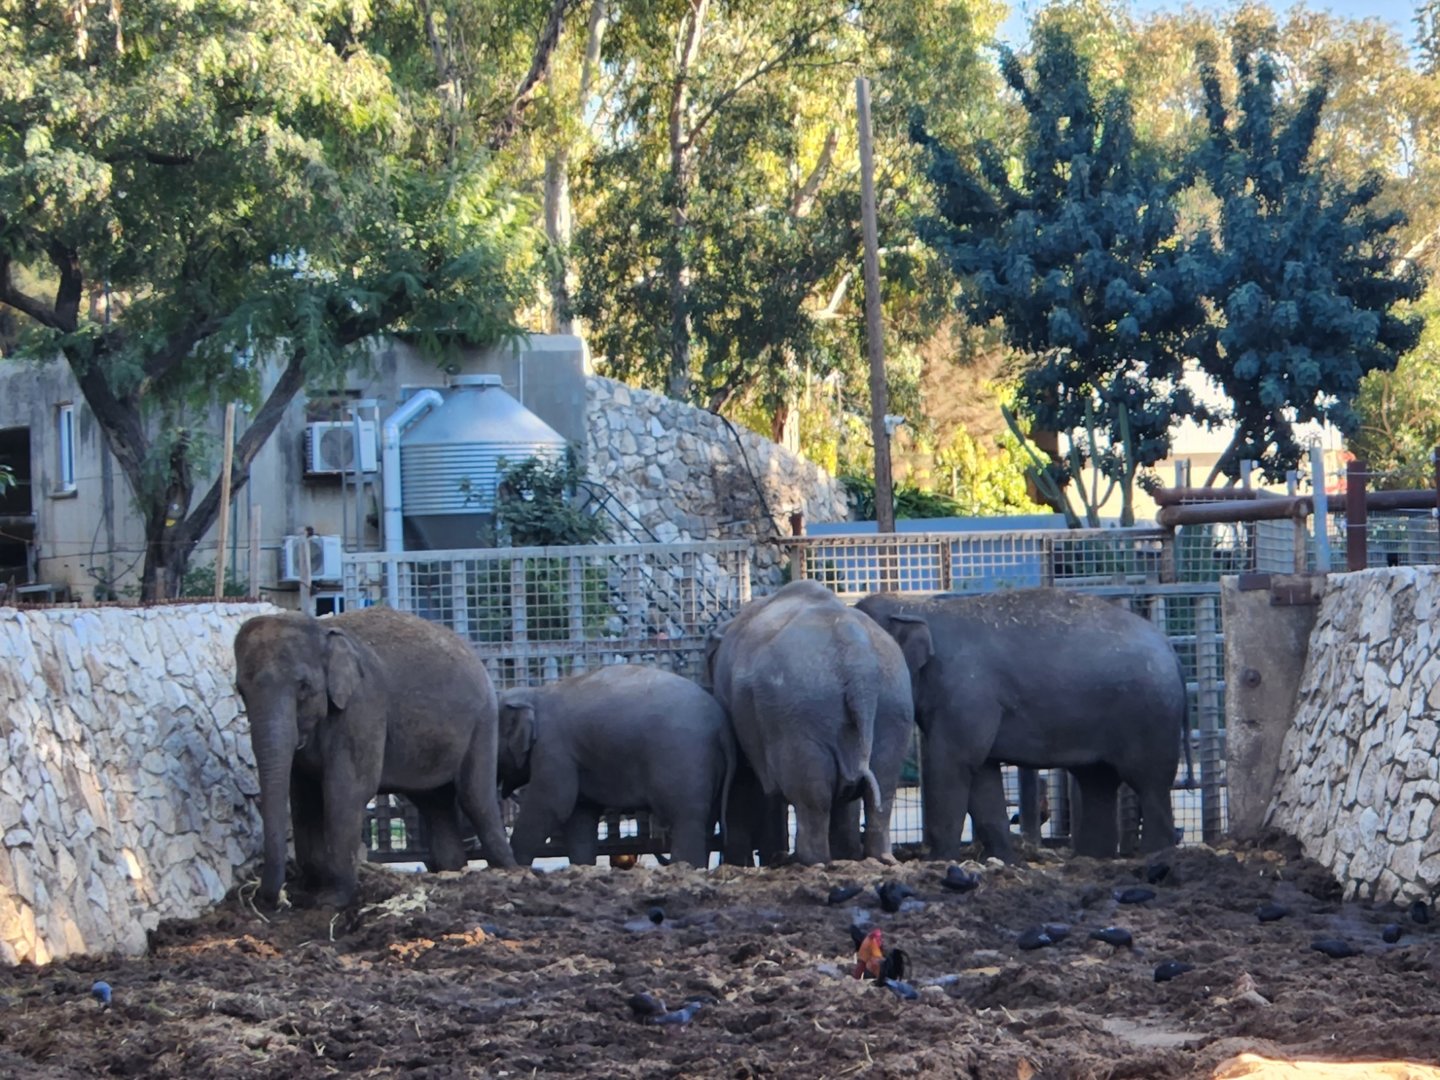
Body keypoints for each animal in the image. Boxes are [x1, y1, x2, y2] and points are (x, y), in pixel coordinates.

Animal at [234, 607, 517, 908]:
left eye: (303, 686)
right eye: (241, 690)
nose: (266, 899)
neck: (321, 630)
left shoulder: (363, 707)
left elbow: (344, 791)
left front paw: (331, 900)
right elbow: (302, 799)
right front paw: (310, 891)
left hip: (483, 722)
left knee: (475, 797)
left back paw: (510, 871)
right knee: (435, 803)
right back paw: (452, 871)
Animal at [496, 665, 736, 867]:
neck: (534, 692)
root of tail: (722, 727)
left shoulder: (553, 748)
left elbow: (552, 804)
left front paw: (516, 865)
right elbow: (580, 816)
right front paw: (583, 867)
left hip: (685, 759)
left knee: (687, 820)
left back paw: (684, 868)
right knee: (706, 823)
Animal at [706, 579, 914, 865]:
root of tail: (859, 662)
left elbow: (743, 775)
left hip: (801, 715)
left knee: (812, 796)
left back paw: (807, 861)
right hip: (893, 705)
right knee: (881, 786)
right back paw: (875, 858)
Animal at [857, 587, 1187, 861]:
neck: (917, 606)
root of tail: (1169, 647)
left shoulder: (967, 694)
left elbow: (953, 764)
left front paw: (938, 862)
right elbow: (983, 776)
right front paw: (1006, 861)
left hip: (1150, 715)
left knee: (1149, 782)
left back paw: (1152, 855)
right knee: (1098, 782)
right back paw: (1090, 859)